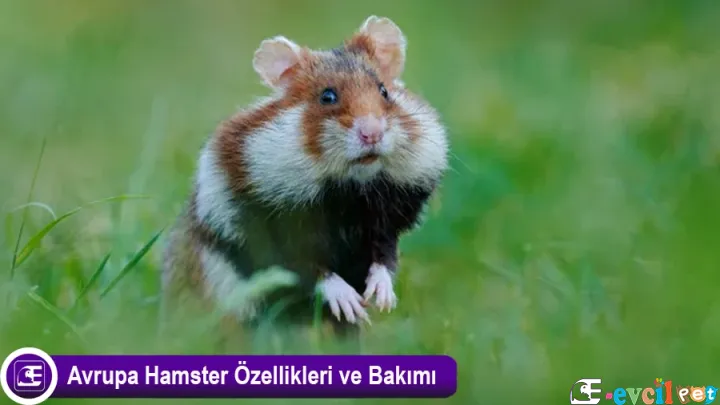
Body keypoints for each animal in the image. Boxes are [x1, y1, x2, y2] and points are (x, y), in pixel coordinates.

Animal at [161, 16, 449, 341]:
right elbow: (307, 268)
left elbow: (384, 259)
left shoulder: (384, 224)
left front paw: (381, 300)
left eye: (384, 91)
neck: (349, 188)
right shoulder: (265, 228)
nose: (372, 133)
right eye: (327, 96)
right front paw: (351, 303)